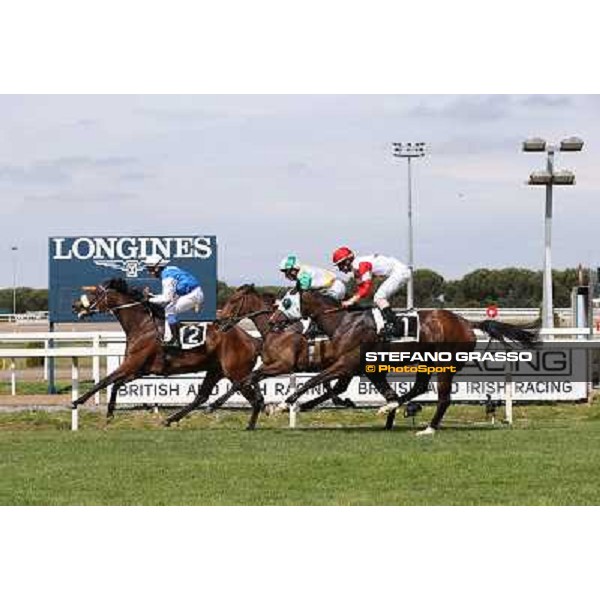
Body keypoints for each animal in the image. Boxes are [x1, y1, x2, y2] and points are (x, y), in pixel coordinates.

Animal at [71, 278, 264, 428]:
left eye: (95, 293)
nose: (75, 305)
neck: (143, 325)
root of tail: (251, 339)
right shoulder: (139, 369)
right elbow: (116, 384)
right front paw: (110, 413)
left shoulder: (131, 364)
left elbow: (104, 381)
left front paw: (77, 401)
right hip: (216, 370)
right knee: (202, 396)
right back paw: (171, 419)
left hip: (236, 372)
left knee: (254, 399)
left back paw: (250, 426)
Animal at [207, 284, 356, 414]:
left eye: (233, 300)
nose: (218, 321)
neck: (276, 330)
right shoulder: (269, 364)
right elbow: (248, 379)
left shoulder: (284, 365)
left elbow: (249, 378)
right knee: (338, 386)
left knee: (336, 386)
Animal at [270, 288, 536, 434]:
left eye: (286, 302)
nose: (273, 321)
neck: (344, 322)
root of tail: (467, 322)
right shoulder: (363, 368)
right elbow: (340, 388)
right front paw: (303, 405)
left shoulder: (346, 364)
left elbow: (312, 380)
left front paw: (283, 405)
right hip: (425, 363)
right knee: (419, 387)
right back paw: (393, 408)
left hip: (444, 365)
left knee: (444, 398)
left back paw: (429, 428)